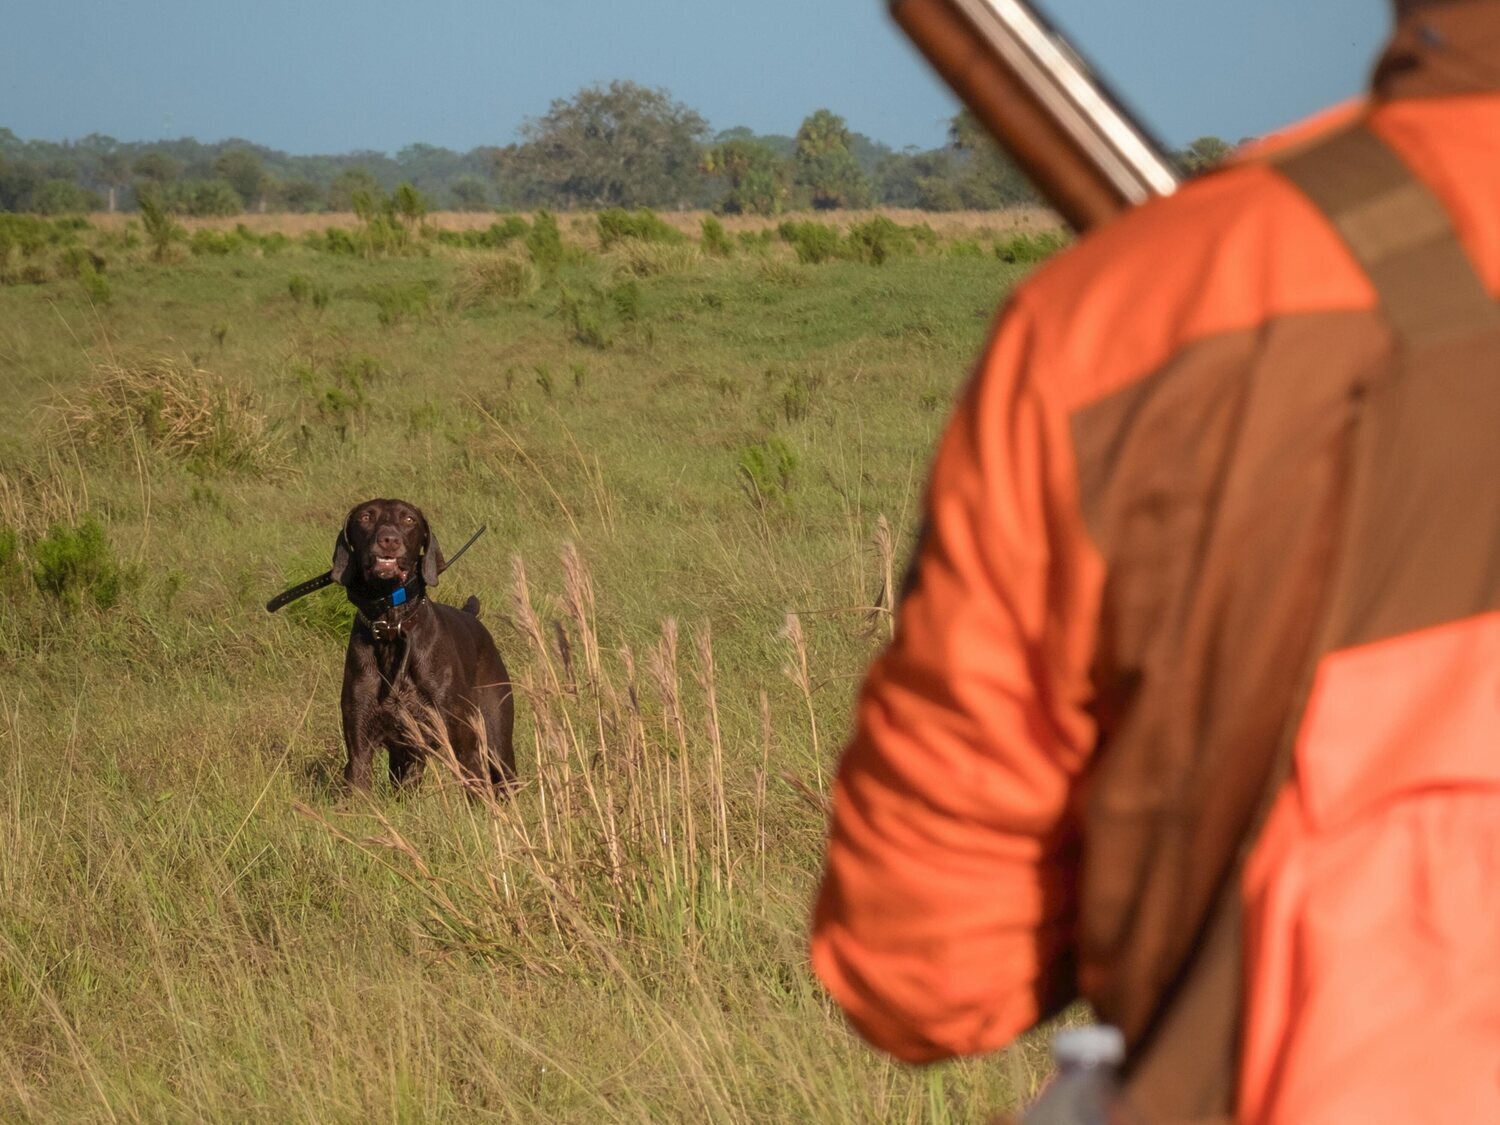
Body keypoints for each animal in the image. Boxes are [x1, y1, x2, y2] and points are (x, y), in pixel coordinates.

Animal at [330, 498, 516, 798]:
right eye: (366, 517)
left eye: (408, 520)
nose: (389, 540)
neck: (393, 627)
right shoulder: (360, 748)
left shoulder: (464, 745)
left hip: (496, 740)